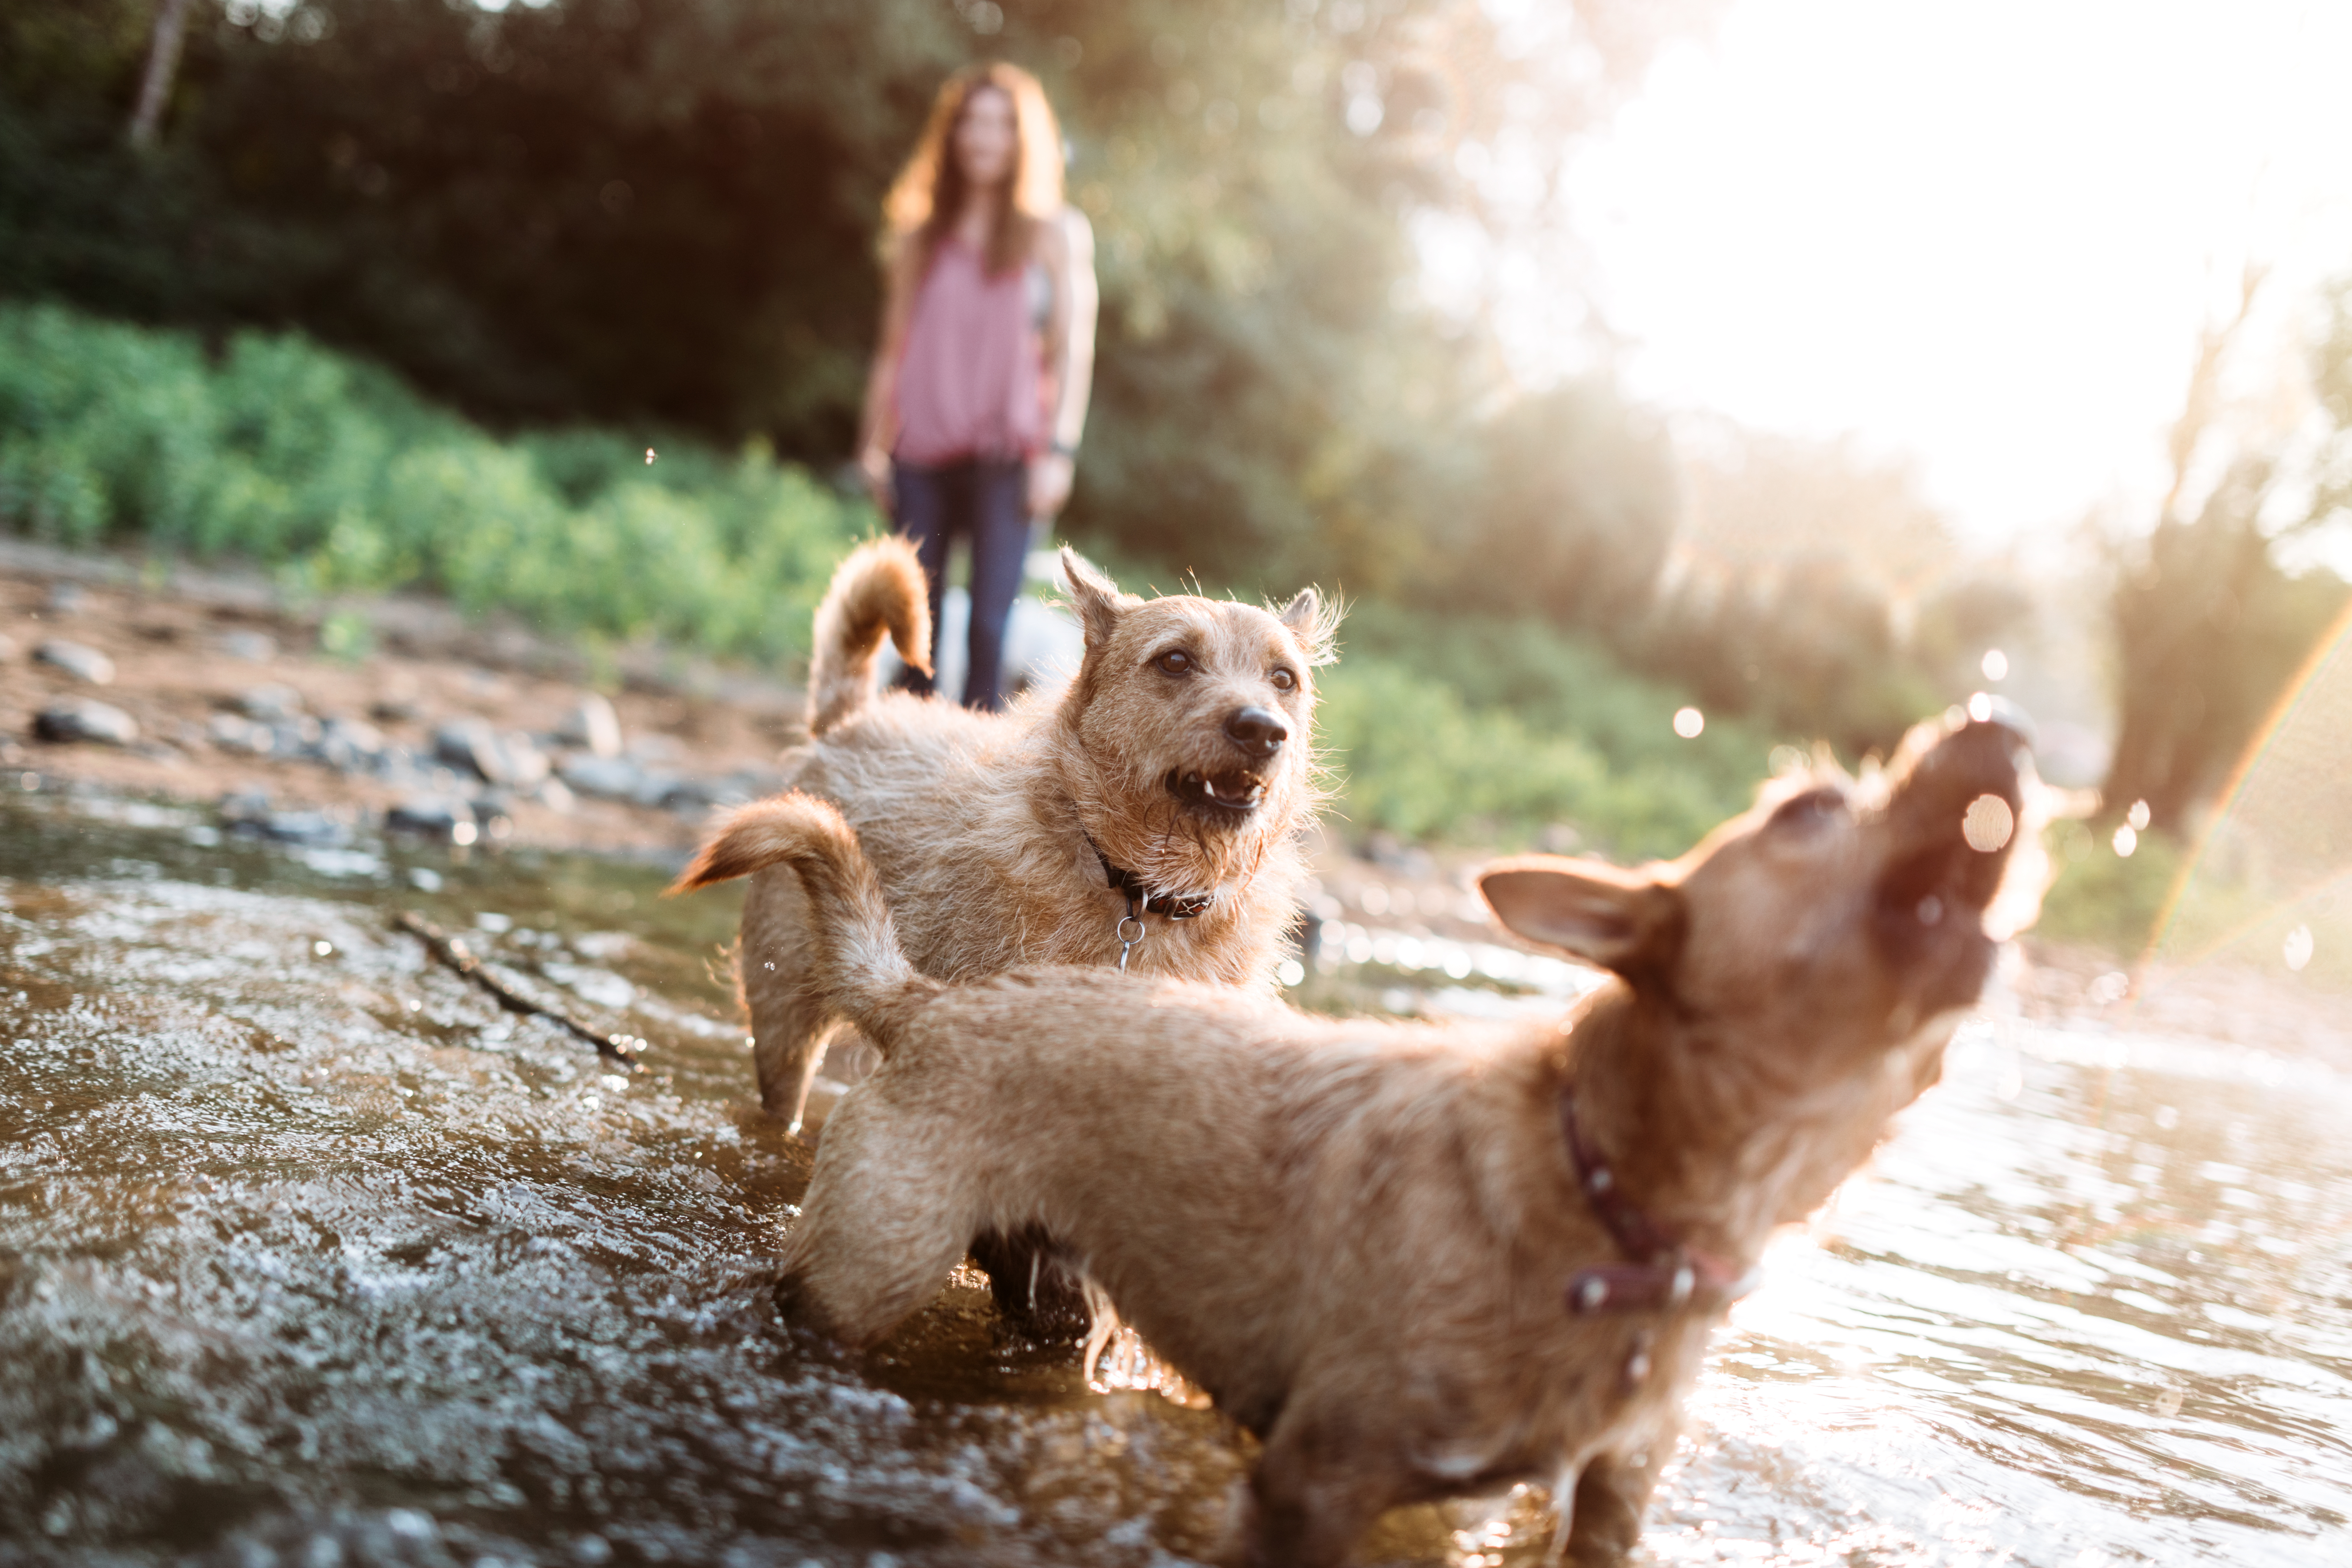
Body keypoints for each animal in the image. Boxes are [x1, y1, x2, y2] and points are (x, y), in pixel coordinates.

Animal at [672, 533, 1336, 1133]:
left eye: (1284, 679)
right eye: (1174, 661)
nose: (1262, 730)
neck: (1142, 894)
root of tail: (852, 720)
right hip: (784, 1025)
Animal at [729, 710, 2023, 1568]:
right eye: (1808, 812)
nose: (1996, 726)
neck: (1603, 1194)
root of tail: (927, 1002)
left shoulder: (1606, 1503)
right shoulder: (1314, 1482)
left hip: (1044, 1296)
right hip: (861, 1278)